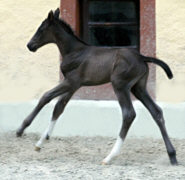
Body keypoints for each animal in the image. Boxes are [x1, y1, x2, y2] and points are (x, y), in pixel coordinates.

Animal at [16, 9, 177, 165]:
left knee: (129, 114)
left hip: (120, 85)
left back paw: (109, 157)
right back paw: (172, 155)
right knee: (156, 112)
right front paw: (40, 142)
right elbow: (59, 107)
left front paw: (21, 129)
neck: (74, 51)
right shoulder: (74, 85)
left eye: (41, 29)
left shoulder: (70, 82)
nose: (30, 45)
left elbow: (46, 96)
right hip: (138, 88)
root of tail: (142, 57)